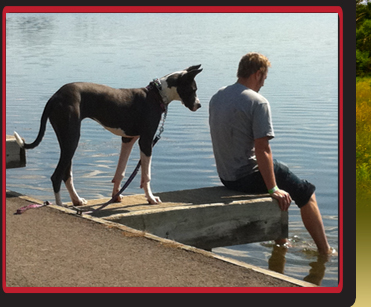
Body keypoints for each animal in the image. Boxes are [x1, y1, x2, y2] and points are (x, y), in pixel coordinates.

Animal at [13, 66, 203, 208]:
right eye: (193, 89)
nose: (199, 105)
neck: (156, 95)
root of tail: (54, 96)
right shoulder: (146, 142)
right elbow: (146, 175)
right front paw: (150, 198)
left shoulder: (128, 139)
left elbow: (120, 171)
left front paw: (116, 196)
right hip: (71, 138)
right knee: (56, 175)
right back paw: (60, 206)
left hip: (66, 140)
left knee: (66, 174)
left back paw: (76, 200)